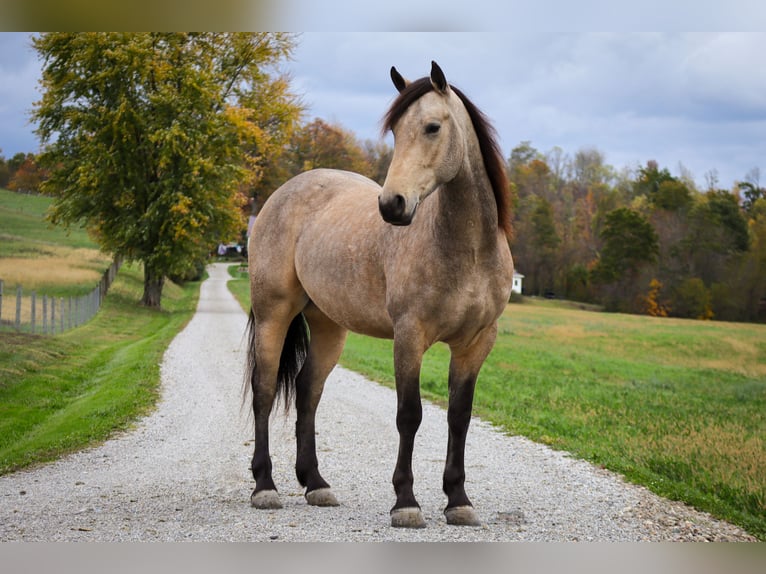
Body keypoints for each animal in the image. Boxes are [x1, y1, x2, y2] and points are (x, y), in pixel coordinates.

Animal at [245, 61, 514, 528]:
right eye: (395, 133)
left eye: (431, 127)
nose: (392, 205)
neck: (469, 249)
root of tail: (282, 194)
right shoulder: (409, 336)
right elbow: (410, 415)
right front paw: (406, 502)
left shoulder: (477, 342)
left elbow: (459, 417)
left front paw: (458, 500)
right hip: (273, 314)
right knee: (265, 389)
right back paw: (265, 486)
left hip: (329, 326)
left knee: (308, 391)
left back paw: (316, 484)